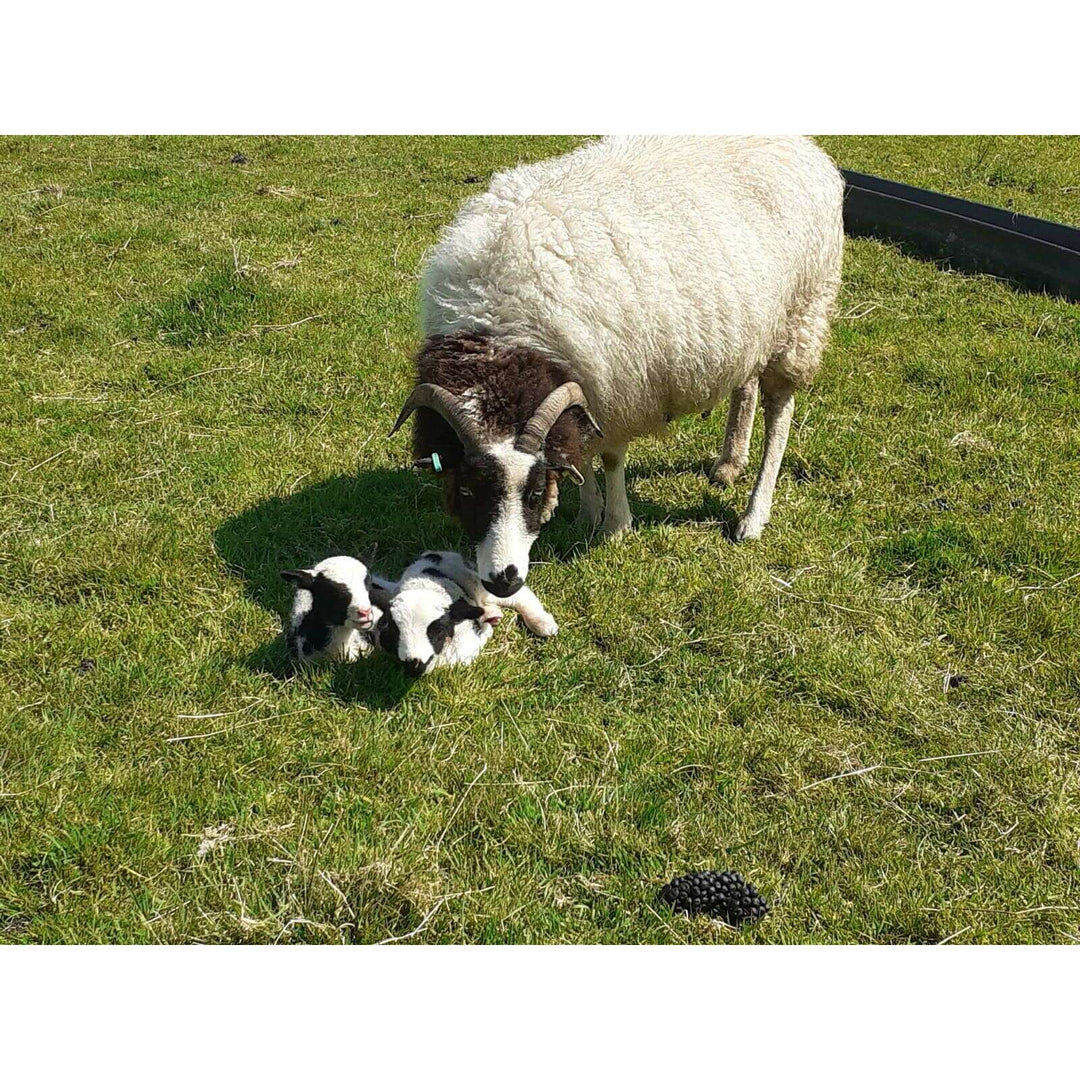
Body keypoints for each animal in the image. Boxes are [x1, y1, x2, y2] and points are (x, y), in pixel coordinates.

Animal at [376, 551, 557, 677]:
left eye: (438, 630)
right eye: (394, 630)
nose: (414, 665)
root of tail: (433, 554)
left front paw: (486, 629)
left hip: (479, 582)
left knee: (517, 595)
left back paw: (543, 624)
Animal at [389, 136, 844, 596]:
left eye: (533, 493)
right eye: (465, 490)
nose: (504, 581)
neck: (499, 334)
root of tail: (803, 145)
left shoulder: (614, 386)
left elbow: (607, 457)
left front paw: (614, 526)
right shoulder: (584, 386)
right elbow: (578, 451)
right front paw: (587, 513)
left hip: (801, 317)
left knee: (780, 412)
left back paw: (754, 515)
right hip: (752, 326)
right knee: (745, 384)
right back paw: (729, 464)